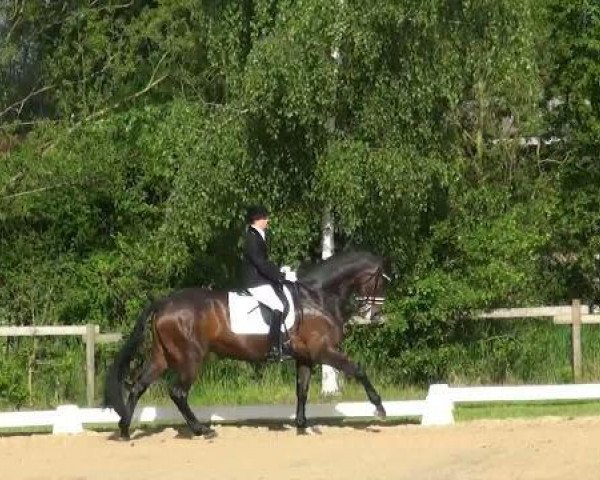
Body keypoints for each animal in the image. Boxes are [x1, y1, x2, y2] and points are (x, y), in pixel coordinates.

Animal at [104, 248, 390, 438]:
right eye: (380, 281)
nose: (375, 315)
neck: (317, 297)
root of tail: (164, 303)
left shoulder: (306, 356)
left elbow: (302, 390)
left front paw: (302, 425)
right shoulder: (323, 351)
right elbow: (358, 369)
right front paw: (379, 408)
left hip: (162, 356)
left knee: (138, 386)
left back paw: (125, 429)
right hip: (190, 358)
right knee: (177, 392)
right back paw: (201, 429)